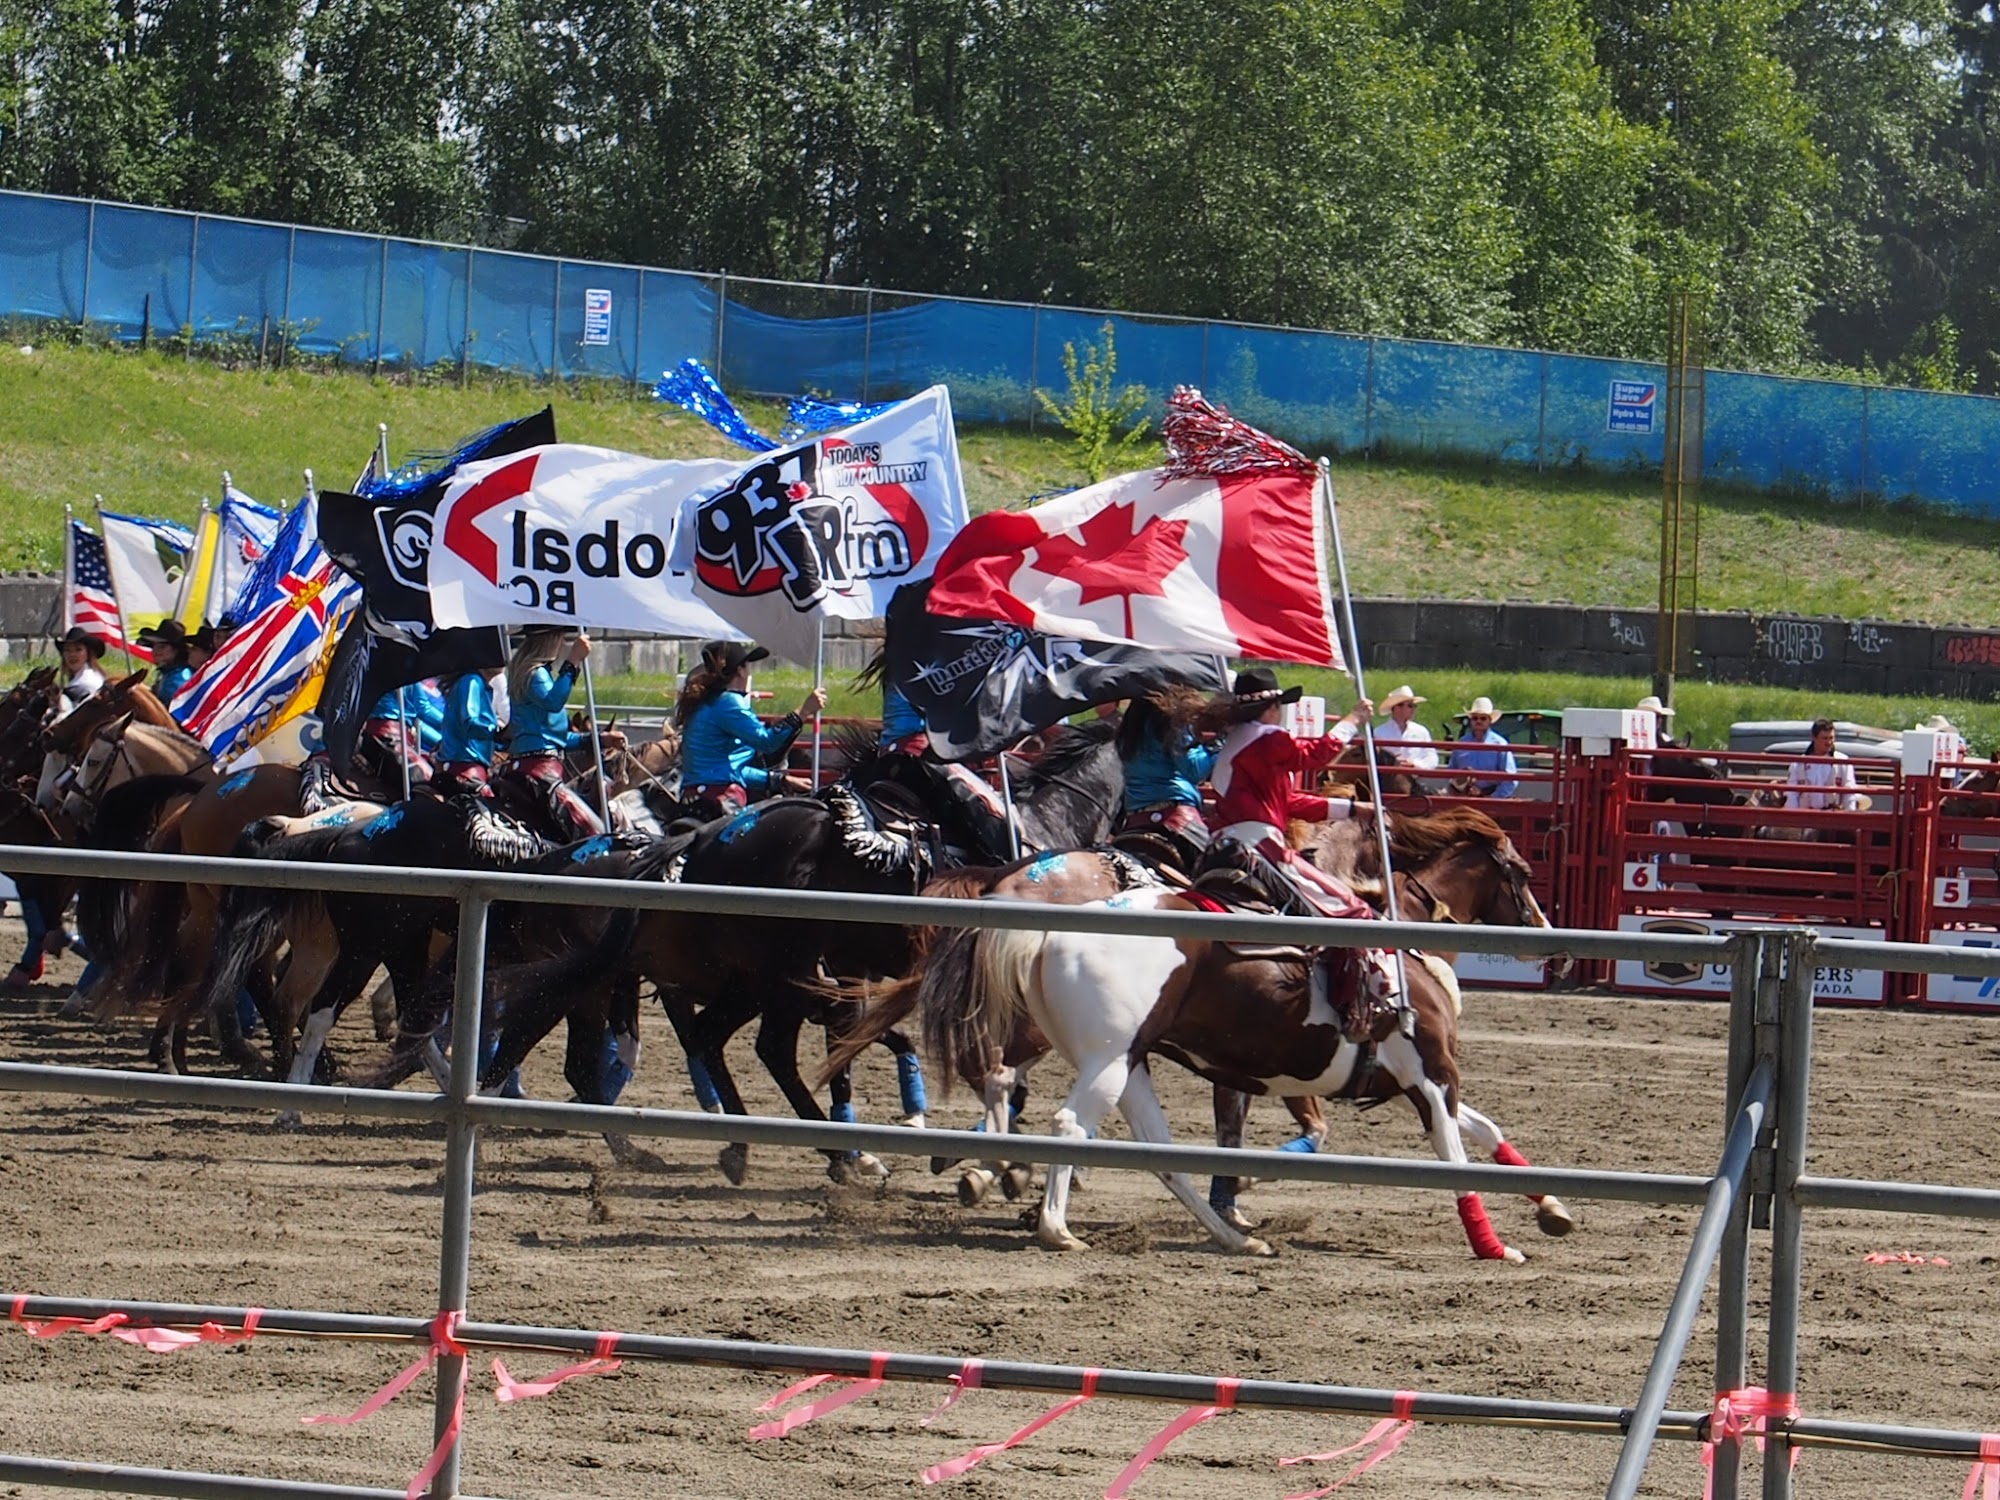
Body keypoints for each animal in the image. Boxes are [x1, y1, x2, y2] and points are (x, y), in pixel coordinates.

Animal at [907, 884, 1571, 1260]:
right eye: (1514, 871)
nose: (1555, 943)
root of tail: (1051, 930)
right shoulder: (1432, 1077)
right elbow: (1457, 1159)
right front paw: (1494, 1247)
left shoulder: (1419, 1084)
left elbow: (1487, 1133)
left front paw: (1552, 1207)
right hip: (1107, 1060)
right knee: (1069, 1125)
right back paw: (1054, 1227)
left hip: (1128, 1064)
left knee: (1157, 1153)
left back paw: (1234, 1239)